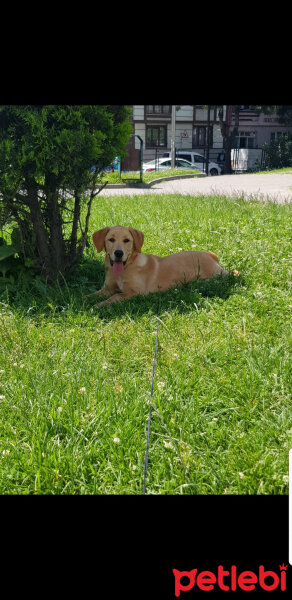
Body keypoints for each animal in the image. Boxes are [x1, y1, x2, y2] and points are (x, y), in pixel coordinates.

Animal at [91, 225, 230, 304]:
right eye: (111, 240)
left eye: (126, 240)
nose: (119, 253)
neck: (126, 267)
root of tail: (209, 254)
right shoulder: (107, 288)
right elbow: (92, 295)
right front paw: (87, 301)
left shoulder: (136, 292)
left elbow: (115, 296)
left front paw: (99, 305)